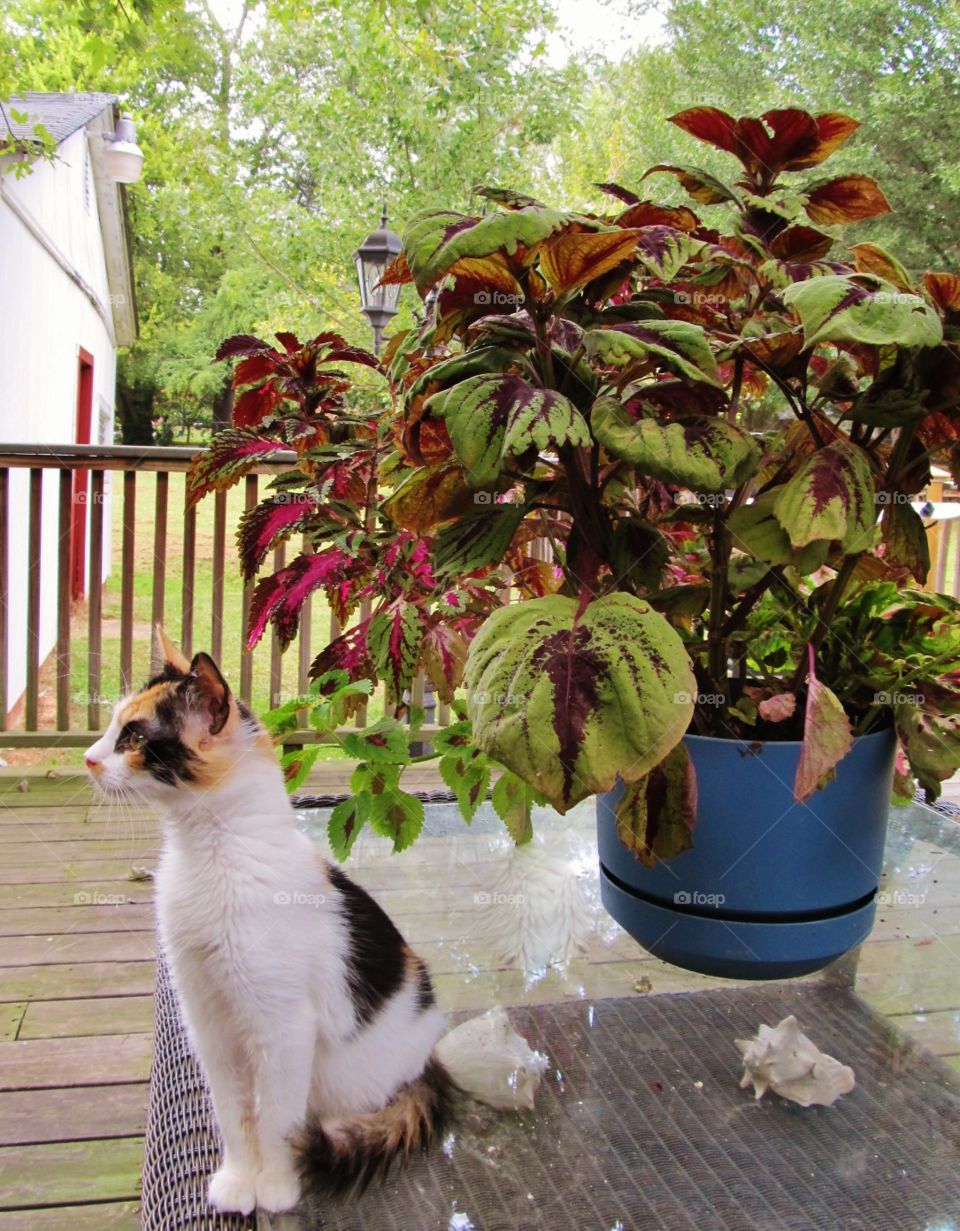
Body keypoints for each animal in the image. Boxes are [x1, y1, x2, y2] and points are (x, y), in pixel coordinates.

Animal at [84, 630, 452, 1216]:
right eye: (112, 727)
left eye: (135, 736)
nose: (87, 758)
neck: (215, 856)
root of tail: (430, 1057)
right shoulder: (208, 1021)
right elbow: (233, 1111)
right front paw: (239, 1179)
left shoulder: (284, 1029)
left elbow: (278, 1117)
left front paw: (277, 1182)